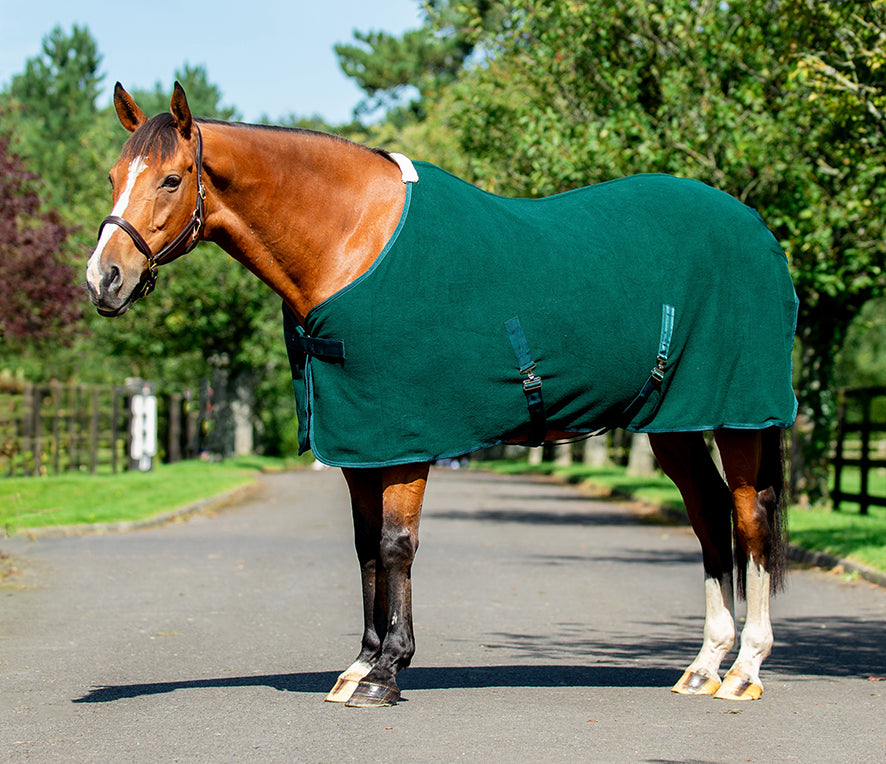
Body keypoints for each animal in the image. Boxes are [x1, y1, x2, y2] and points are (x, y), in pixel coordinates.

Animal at [86, 83, 797, 708]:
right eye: (114, 175)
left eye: (171, 179)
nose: (103, 279)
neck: (351, 237)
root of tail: (756, 229)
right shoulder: (361, 440)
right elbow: (365, 546)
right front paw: (361, 663)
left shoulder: (404, 438)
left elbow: (396, 545)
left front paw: (385, 673)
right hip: (674, 420)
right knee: (709, 514)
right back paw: (704, 665)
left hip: (737, 416)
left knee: (749, 520)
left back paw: (744, 670)